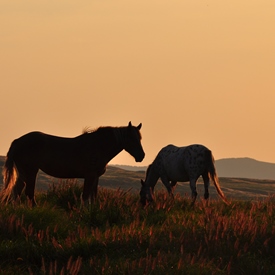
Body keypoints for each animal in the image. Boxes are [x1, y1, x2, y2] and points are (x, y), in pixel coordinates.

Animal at [1, 122, 146, 206]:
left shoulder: (95, 177)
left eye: (140, 138)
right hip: (31, 171)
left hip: (24, 173)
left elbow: (93, 197)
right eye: (132, 138)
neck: (98, 146)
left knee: (17, 191)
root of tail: (17, 141)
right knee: (27, 193)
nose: (141, 156)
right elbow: (85, 197)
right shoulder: (90, 176)